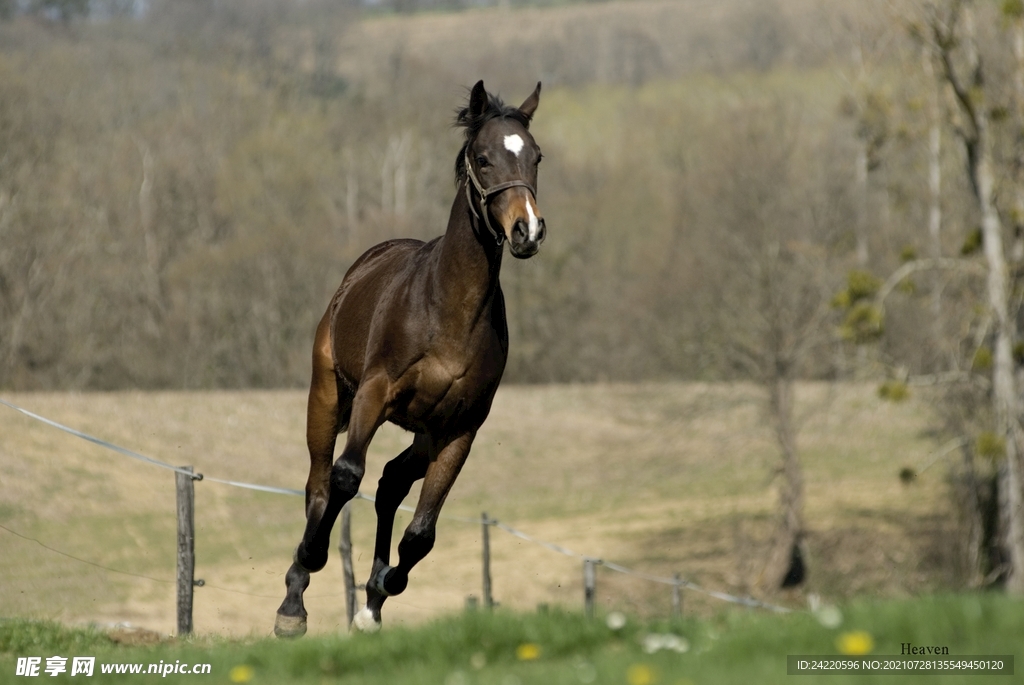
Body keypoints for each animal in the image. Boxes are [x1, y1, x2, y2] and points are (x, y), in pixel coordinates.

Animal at [274, 80, 546, 637]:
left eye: (536, 156)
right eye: (483, 159)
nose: (527, 231)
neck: (449, 311)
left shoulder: (460, 428)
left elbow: (421, 533)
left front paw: (378, 593)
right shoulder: (374, 394)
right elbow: (345, 476)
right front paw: (308, 573)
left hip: (423, 432)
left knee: (390, 484)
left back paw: (371, 603)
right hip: (327, 394)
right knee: (321, 482)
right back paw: (294, 598)